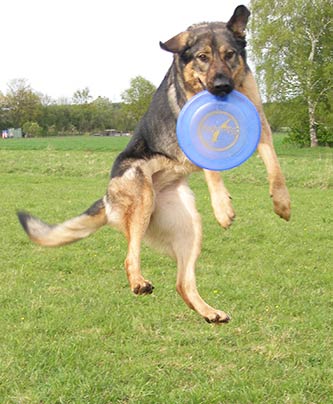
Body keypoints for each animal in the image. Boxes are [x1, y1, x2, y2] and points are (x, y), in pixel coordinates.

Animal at [18, 4, 290, 324]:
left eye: (230, 54)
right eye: (202, 57)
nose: (222, 87)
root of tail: (107, 197)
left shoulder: (262, 126)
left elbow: (275, 167)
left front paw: (282, 203)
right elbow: (213, 172)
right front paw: (223, 208)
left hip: (189, 227)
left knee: (182, 283)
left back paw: (209, 313)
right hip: (142, 198)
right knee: (129, 256)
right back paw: (139, 282)